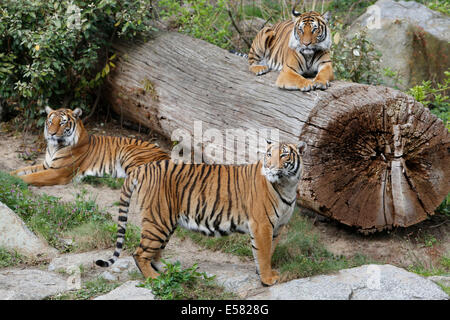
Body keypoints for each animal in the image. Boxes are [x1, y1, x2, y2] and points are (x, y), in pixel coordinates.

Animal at [10, 106, 170, 186]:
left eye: (62, 122)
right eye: (50, 121)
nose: (51, 134)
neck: (54, 147)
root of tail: (167, 155)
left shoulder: (57, 172)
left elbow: (30, 176)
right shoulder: (46, 165)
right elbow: (22, 170)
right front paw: (8, 174)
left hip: (129, 152)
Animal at [95, 141, 306, 286]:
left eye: (284, 155)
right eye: (269, 154)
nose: (270, 166)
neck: (287, 185)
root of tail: (143, 167)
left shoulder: (278, 226)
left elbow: (269, 251)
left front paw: (264, 273)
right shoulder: (262, 225)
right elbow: (262, 253)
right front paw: (267, 279)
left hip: (166, 222)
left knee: (154, 254)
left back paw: (168, 272)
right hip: (159, 221)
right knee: (139, 254)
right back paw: (156, 279)